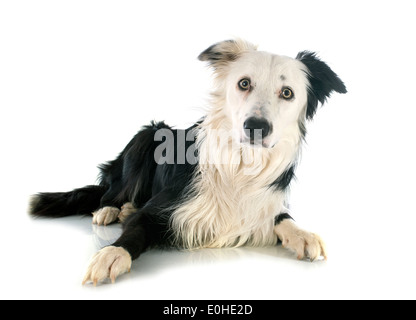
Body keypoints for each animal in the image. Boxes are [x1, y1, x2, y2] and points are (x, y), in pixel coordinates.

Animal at [29, 39, 346, 284]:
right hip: (146, 136)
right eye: (244, 83)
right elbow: (134, 231)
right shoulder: (158, 209)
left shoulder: (264, 207)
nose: (256, 126)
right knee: (110, 190)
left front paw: (303, 234)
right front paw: (111, 254)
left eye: (287, 93)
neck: (240, 165)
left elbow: (283, 218)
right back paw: (110, 209)